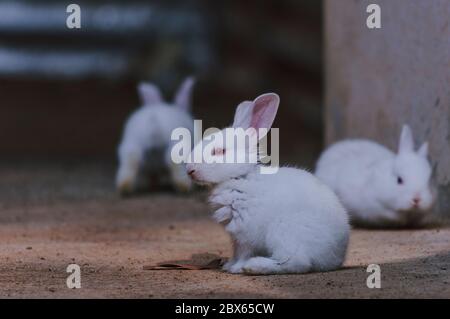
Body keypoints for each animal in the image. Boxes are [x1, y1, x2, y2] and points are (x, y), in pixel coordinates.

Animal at [185, 93, 350, 276]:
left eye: (220, 151)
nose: (189, 169)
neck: (239, 177)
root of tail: (336, 257)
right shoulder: (235, 237)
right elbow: (236, 252)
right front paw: (228, 265)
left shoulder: (245, 234)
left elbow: (243, 253)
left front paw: (236, 268)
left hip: (284, 232)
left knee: (297, 262)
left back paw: (254, 266)